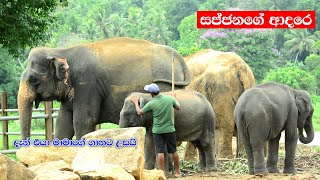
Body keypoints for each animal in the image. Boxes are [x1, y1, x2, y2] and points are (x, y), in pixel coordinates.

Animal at [18, 37, 190, 140]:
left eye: (33, 79)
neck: (61, 51)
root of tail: (178, 56)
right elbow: (63, 122)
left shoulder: (87, 84)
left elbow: (83, 121)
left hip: (165, 84)